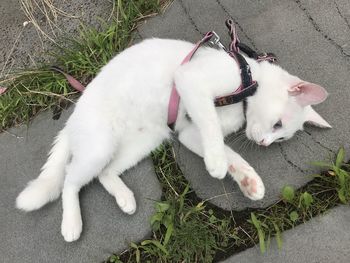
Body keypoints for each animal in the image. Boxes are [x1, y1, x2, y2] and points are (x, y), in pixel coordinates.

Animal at [15, 38, 330, 242]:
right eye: (277, 125)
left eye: (280, 137)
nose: (265, 143)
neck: (249, 79)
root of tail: (72, 120)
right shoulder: (191, 81)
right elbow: (213, 131)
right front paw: (217, 165)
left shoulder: (188, 131)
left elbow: (227, 150)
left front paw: (247, 180)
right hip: (99, 146)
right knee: (70, 179)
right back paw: (71, 224)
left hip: (143, 142)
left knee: (104, 173)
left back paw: (124, 198)